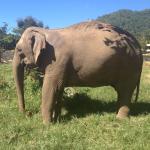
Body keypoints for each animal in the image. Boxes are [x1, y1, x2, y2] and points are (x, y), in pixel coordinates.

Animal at [12, 21, 143, 124]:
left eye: (18, 49)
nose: (27, 113)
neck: (44, 31)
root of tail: (137, 44)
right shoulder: (60, 66)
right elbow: (59, 88)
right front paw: (57, 119)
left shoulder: (57, 61)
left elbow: (49, 88)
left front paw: (46, 125)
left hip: (130, 67)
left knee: (125, 91)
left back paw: (120, 119)